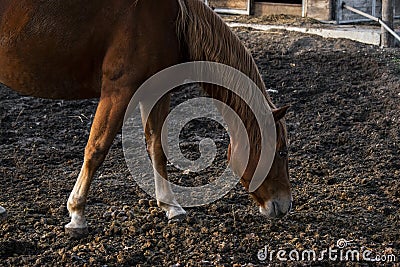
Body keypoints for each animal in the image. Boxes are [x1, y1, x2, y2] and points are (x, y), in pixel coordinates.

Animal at [0, 0, 290, 239]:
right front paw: (77, 214)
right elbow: (96, 149)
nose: (285, 205)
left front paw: (171, 206)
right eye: (281, 151)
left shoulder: (155, 90)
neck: (175, 20)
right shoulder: (119, 91)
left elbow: (157, 148)